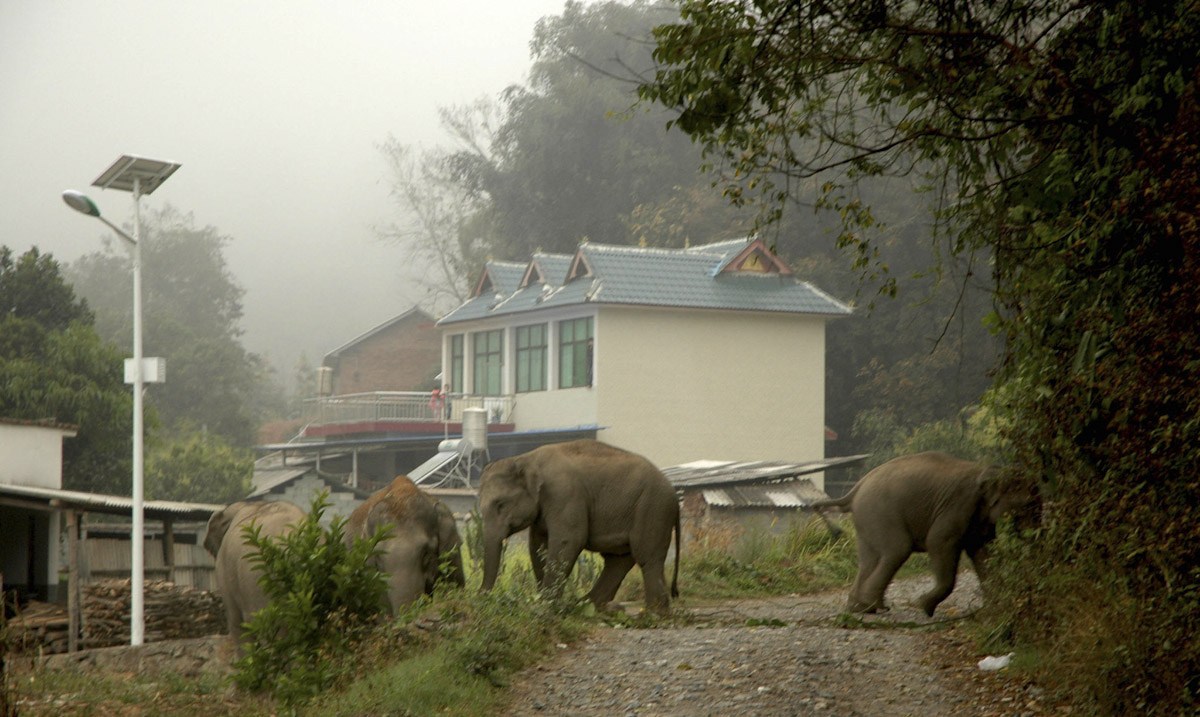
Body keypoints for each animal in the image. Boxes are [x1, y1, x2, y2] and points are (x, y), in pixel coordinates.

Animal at [477, 441, 686, 613]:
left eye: (500, 504)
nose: (482, 598)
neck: (526, 458)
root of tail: (675, 496)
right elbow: (537, 546)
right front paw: (543, 602)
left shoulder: (564, 494)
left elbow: (568, 541)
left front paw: (546, 606)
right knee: (619, 560)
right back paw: (588, 607)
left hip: (653, 509)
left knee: (646, 557)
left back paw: (652, 614)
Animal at [806, 455, 1041, 618]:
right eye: (1029, 503)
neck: (986, 469)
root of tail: (856, 488)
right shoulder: (959, 505)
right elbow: (939, 542)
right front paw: (925, 607)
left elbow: (982, 551)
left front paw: (995, 606)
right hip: (880, 513)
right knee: (897, 549)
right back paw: (872, 606)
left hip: (867, 519)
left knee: (869, 558)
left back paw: (861, 608)